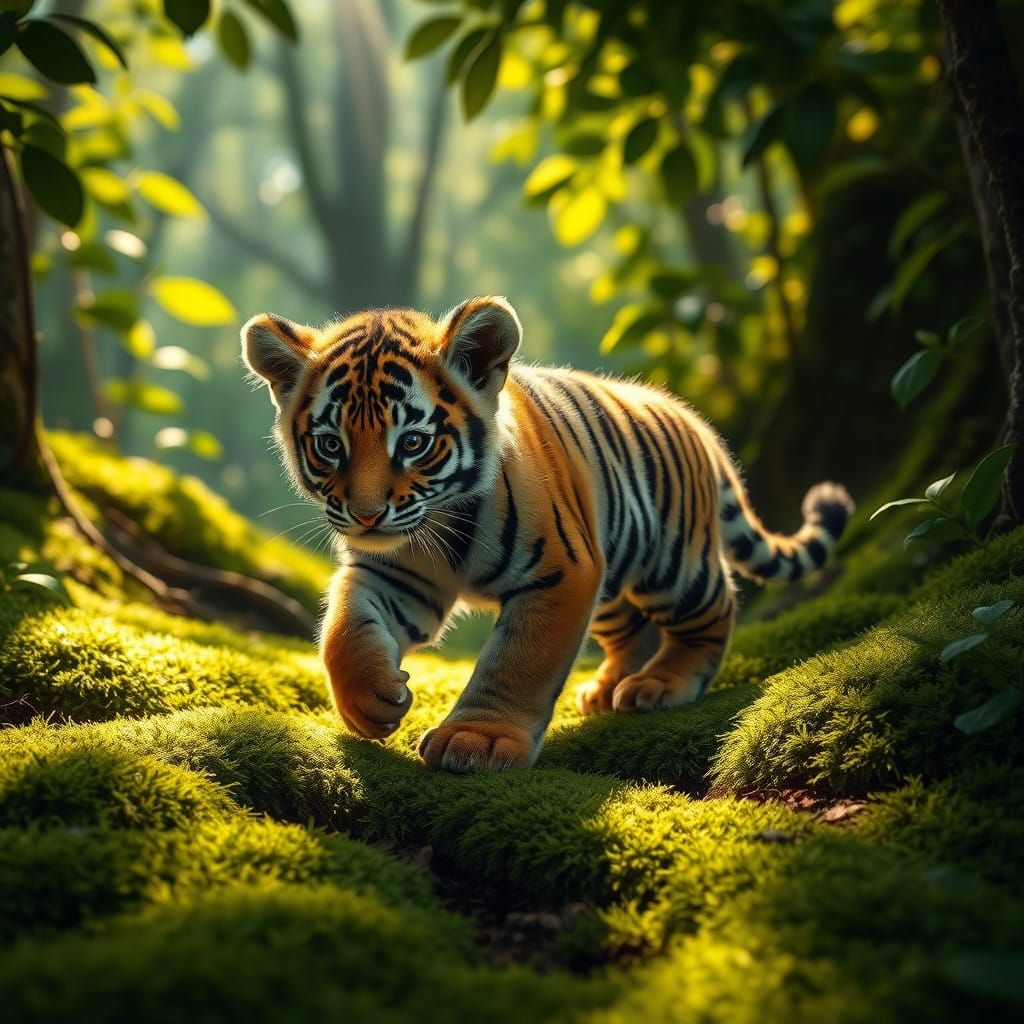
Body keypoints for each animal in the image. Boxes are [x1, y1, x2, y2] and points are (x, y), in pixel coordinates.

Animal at [242, 296, 853, 773]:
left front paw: (478, 742)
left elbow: (519, 660)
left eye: (413, 442)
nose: (366, 517)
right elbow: (344, 628)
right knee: (632, 630)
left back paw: (661, 685)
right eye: (330, 445)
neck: (441, 524)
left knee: (716, 606)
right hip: (610, 579)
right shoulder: (396, 575)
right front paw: (368, 699)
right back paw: (605, 690)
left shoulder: (562, 572)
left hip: (673, 564)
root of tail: (697, 423)